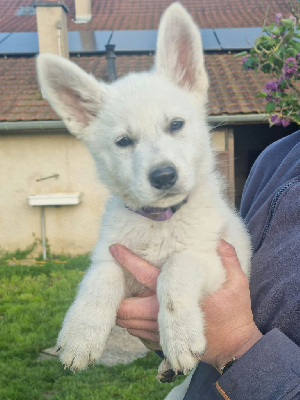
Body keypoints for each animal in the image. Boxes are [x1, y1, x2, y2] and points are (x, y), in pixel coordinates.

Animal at [35, 2, 251, 396]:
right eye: (123, 142)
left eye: (176, 125)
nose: (164, 176)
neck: (158, 221)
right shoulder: (111, 253)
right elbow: (99, 280)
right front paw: (81, 336)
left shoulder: (211, 262)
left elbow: (174, 271)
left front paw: (180, 338)